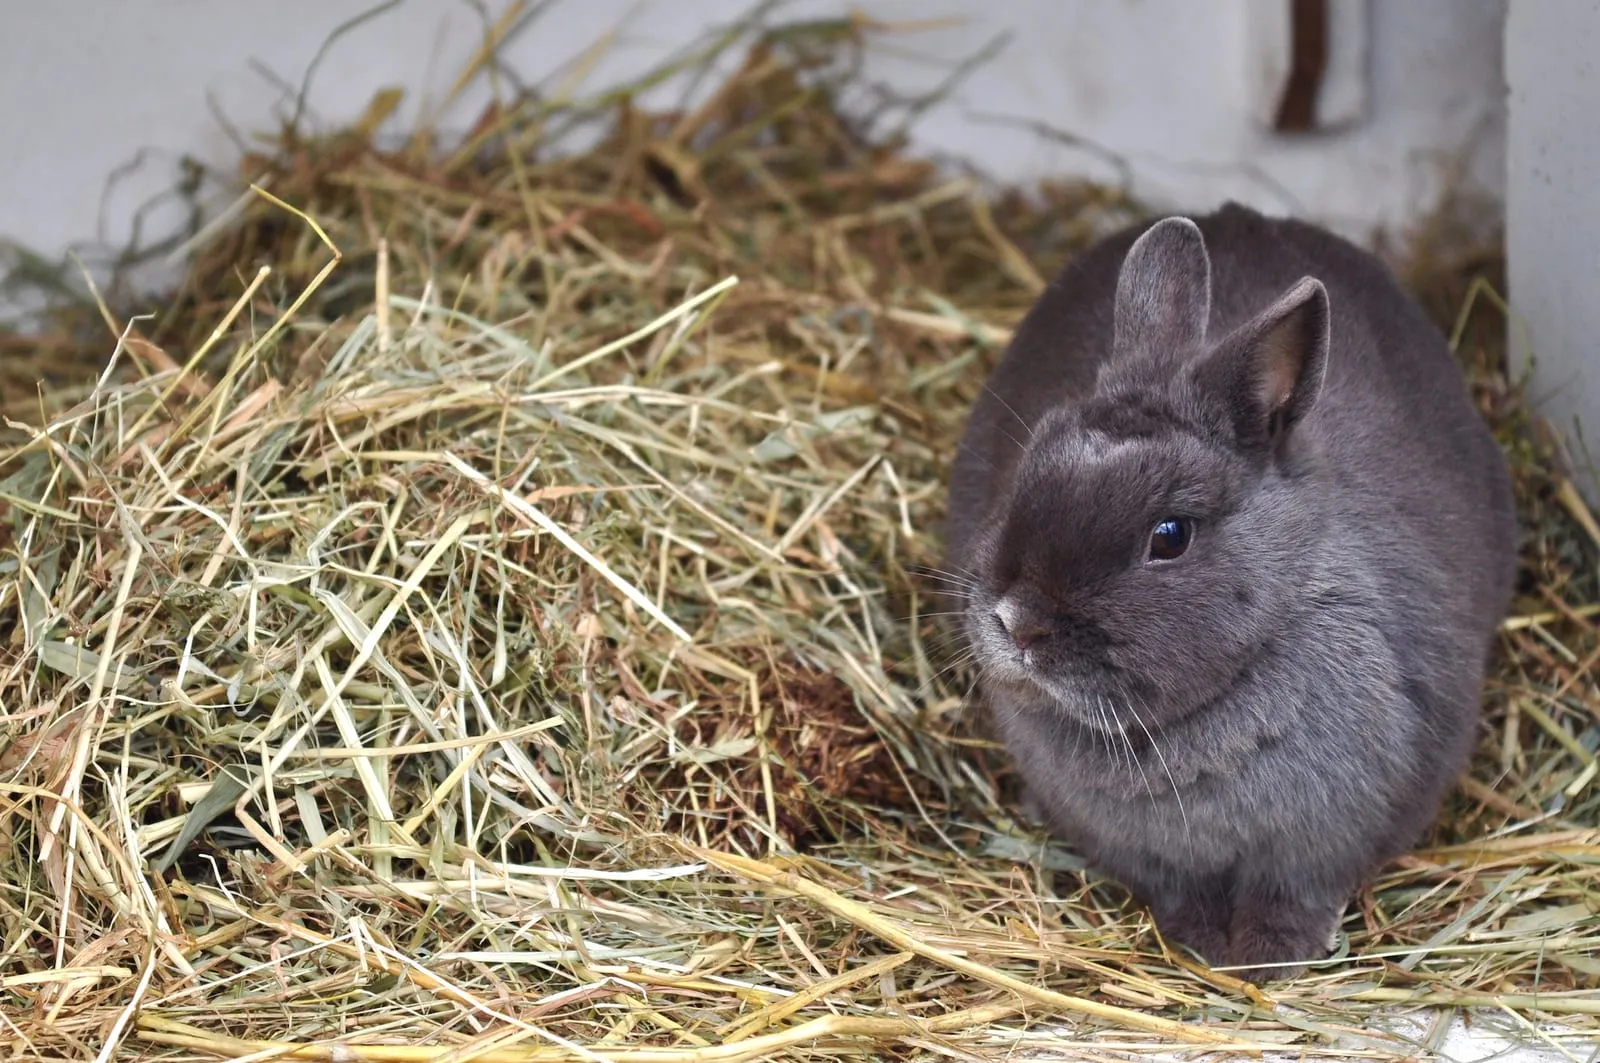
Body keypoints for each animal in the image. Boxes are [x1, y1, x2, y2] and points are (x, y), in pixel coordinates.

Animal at [941, 202, 1518, 982]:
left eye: (1171, 535)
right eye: (1028, 466)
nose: (1016, 620)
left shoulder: (1321, 844)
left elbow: (1293, 894)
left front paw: (1269, 959)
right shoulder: (1159, 860)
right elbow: (1182, 891)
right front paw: (1206, 946)